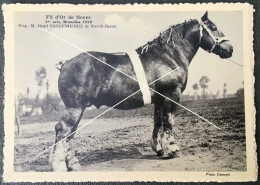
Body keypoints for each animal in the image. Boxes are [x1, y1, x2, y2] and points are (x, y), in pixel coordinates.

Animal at [49, 11, 233, 171]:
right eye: (214, 27)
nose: (230, 49)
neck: (167, 56)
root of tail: (65, 63)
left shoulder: (159, 99)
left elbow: (158, 121)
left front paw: (159, 149)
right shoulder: (172, 95)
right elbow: (169, 122)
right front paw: (173, 149)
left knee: (70, 133)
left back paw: (73, 164)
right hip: (75, 108)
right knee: (62, 129)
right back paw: (59, 166)